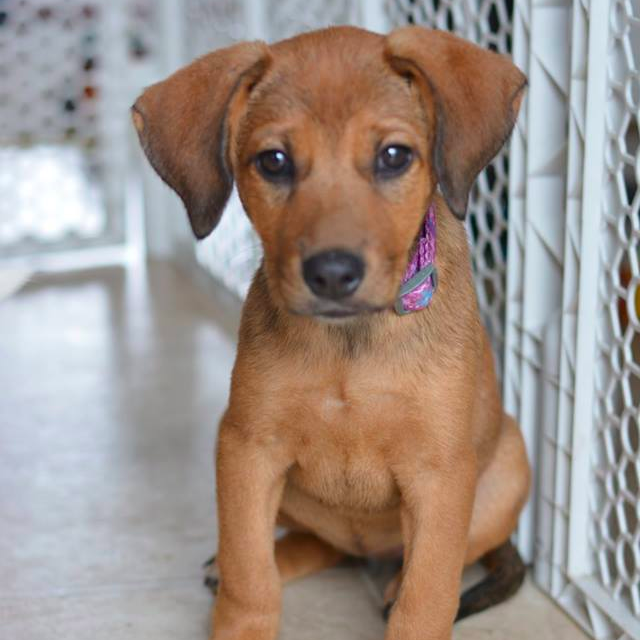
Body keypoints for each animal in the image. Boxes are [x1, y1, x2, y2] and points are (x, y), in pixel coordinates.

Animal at [131, 25, 528, 640]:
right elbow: (250, 575)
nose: (333, 274)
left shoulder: (440, 473)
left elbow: (428, 596)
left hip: (509, 464)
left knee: (448, 553)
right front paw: (240, 617)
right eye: (273, 161)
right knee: (317, 544)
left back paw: (391, 582)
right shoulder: (246, 447)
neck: (350, 348)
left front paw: (412, 606)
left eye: (394, 156)